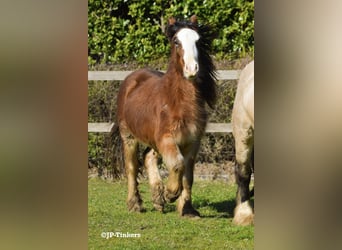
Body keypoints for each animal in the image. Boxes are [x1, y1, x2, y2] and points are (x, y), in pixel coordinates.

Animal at [116, 15, 215, 217]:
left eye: (198, 41)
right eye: (176, 41)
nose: (192, 69)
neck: (178, 103)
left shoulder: (192, 141)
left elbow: (188, 175)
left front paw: (187, 209)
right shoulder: (166, 138)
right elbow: (177, 165)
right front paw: (171, 193)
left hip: (154, 141)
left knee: (148, 157)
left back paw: (158, 199)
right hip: (128, 136)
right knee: (132, 167)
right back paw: (135, 204)